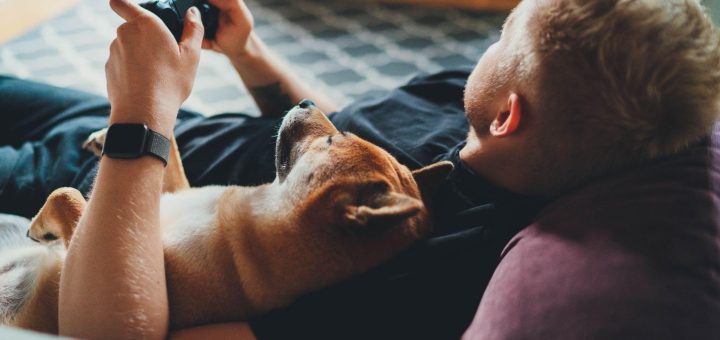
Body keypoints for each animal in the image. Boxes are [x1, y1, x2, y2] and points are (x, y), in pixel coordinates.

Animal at [2, 105, 452, 334]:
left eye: (331, 139)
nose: (306, 102)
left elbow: (69, 197)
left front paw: (40, 226)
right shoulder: (165, 193)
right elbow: (169, 152)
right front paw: (105, 137)